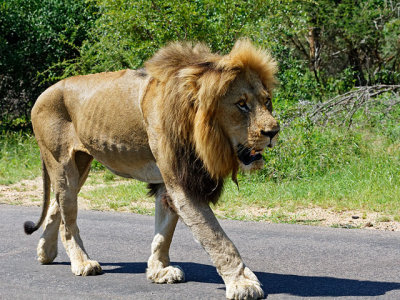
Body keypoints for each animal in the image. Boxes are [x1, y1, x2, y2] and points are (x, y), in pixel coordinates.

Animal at [24, 38, 278, 298]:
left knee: (56, 206)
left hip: (81, 163)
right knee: (67, 221)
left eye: (267, 101)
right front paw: (242, 283)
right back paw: (82, 263)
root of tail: (44, 92)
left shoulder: (167, 183)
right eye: (242, 105)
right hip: (62, 163)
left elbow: (164, 233)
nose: (273, 132)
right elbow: (217, 238)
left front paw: (159, 271)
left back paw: (45, 252)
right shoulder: (182, 184)